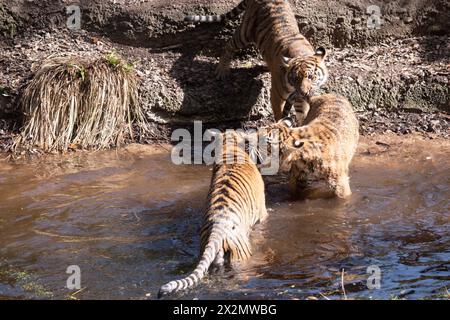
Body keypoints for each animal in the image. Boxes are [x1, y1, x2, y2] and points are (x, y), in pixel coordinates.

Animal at [185, 0, 328, 123]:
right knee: (229, 45)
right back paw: (222, 70)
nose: (304, 93)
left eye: (311, 77)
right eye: (295, 78)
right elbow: (279, 115)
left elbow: (302, 116)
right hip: (245, 33)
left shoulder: (300, 99)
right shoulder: (276, 95)